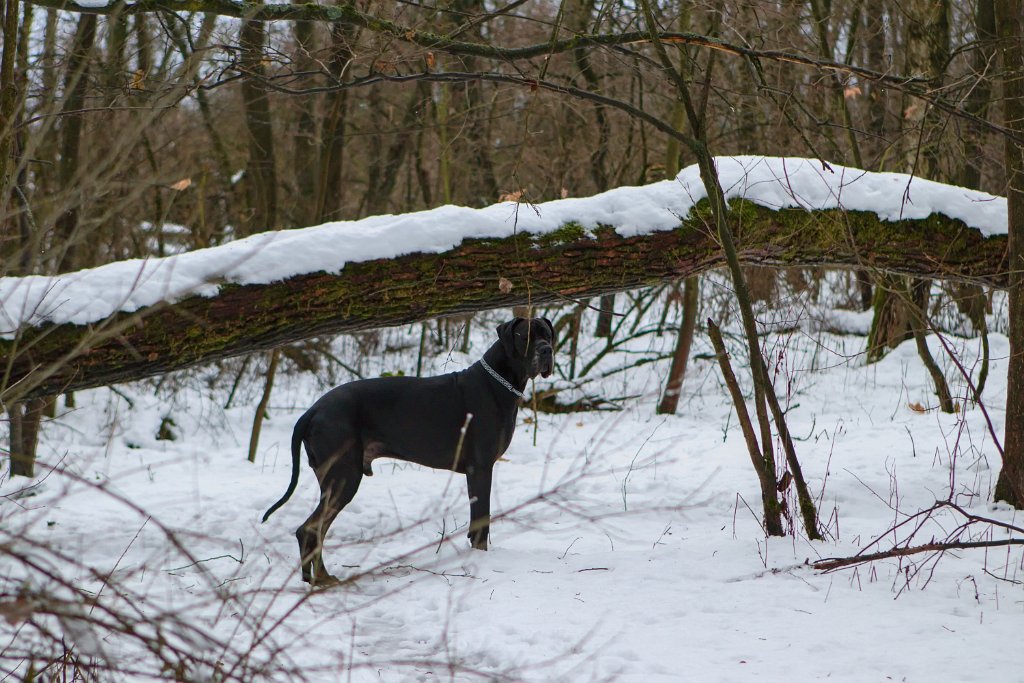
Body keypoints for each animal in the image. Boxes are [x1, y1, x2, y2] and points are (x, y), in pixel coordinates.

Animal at [260, 317, 557, 585]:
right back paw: (322, 578)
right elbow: (481, 524)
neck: (499, 381)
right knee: (311, 528)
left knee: (314, 529)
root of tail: (312, 411)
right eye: (524, 337)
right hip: (344, 476)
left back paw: (315, 578)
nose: (546, 351)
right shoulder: (481, 468)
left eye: (548, 335)